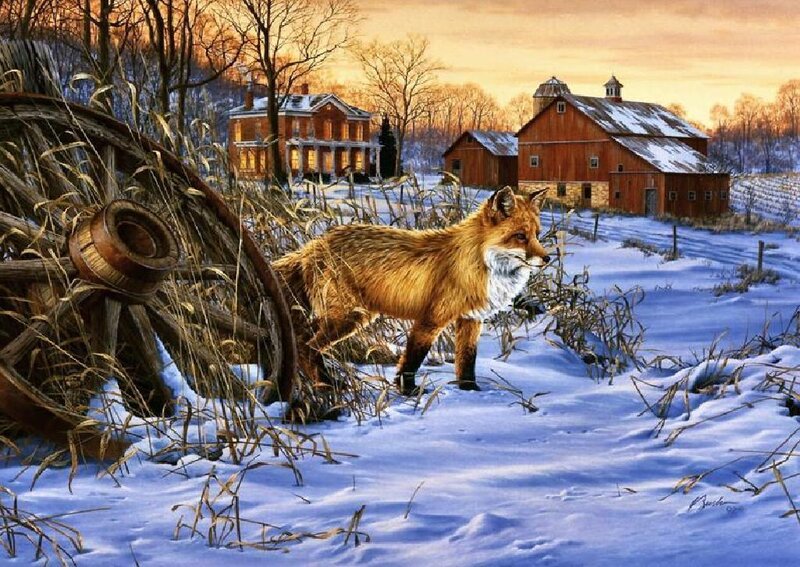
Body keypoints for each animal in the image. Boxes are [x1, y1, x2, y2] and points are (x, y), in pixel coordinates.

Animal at [272, 186, 550, 396]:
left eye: (537, 234)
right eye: (520, 236)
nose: (547, 259)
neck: (478, 262)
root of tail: (315, 244)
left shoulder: (470, 319)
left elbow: (466, 361)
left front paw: (470, 391)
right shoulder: (431, 319)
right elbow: (412, 360)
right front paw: (408, 391)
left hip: (343, 317)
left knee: (302, 339)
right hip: (348, 317)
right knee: (307, 345)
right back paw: (327, 385)